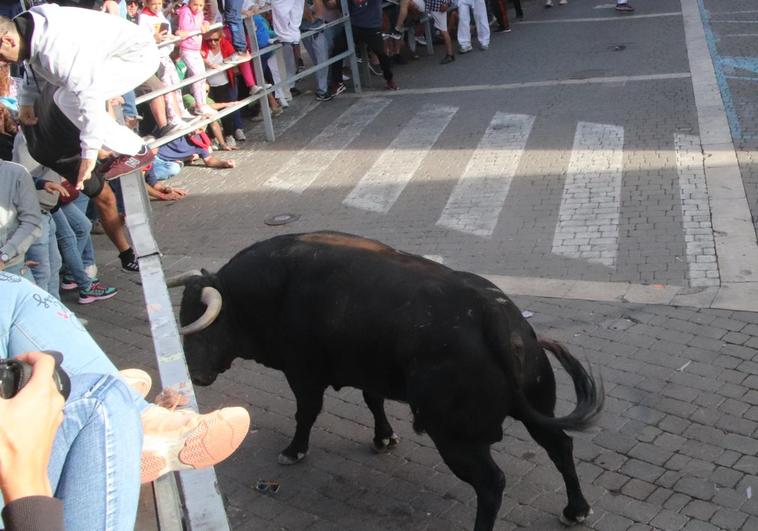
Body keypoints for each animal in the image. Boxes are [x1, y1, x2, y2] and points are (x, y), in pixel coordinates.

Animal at [172, 233, 604, 531]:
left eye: (204, 326)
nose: (194, 375)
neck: (274, 289)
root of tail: (492, 314)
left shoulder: (303, 374)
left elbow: (306, 414)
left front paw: (294, 450)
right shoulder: (369, 371)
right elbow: (372, 401)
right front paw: (383, 438)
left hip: (455, 439)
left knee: (492, 483)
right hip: (536, 407)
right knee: (560, 447)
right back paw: (576, 509)